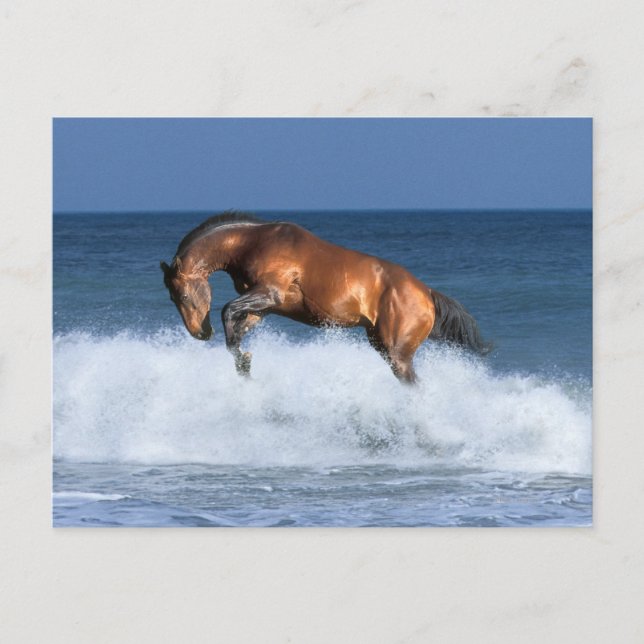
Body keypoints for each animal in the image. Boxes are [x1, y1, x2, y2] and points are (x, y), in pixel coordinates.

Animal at [161, 212, 490, 383]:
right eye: (172, 298)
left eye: (184, 294)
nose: (200, 333)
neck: (253, 242)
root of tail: (427, 294)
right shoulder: (263, 307)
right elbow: (236, 329)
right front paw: (244, 363)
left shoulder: (269, 293)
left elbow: (227, 311)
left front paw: (243, 360)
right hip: (381, 344)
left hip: (397, 355)